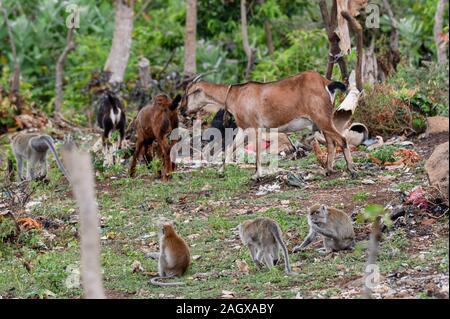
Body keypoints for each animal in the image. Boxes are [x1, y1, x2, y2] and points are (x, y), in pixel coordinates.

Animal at [180, 71, 356, 179]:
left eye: (188, 95)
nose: (182, 110)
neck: (234, 95)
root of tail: (326, 82)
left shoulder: (255, 128)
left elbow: (257, 153)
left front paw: (257, 175)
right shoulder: (243, 128)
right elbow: (230, 148)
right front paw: (221, 171)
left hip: (322, 119)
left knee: (341, 139)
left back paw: (351, 169)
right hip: (321, 121)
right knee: (332, 143)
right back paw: (328, 170)